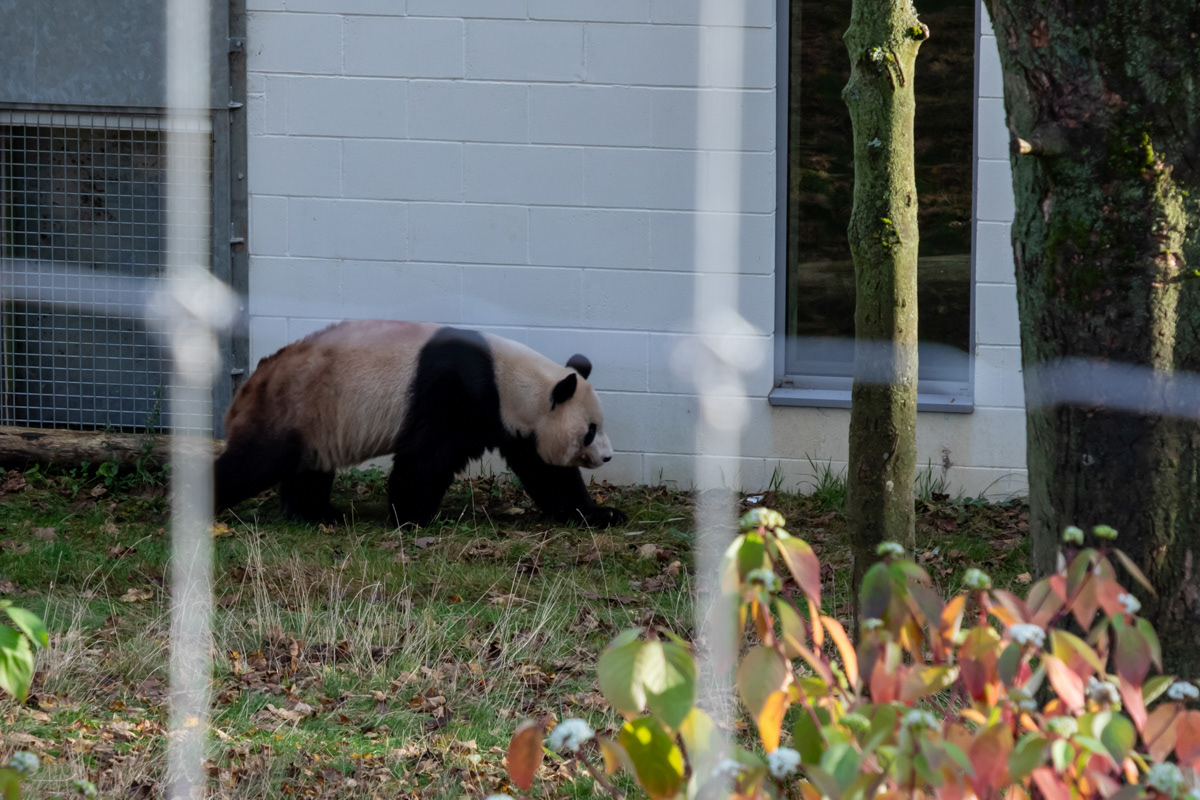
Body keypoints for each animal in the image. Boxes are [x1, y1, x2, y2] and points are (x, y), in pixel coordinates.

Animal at [214, 320, 627, 528]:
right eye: (590, 431)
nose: (608, 457)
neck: (510, 379)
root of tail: (248, 384)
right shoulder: (454, 392)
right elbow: (426, 459)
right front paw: (413, 516)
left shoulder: (517, 425)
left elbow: (546, 473)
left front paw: (600, 514)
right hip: (290, 408)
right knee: (256, 462)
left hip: (318, 420)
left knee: (308, 470)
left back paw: (318, 514)